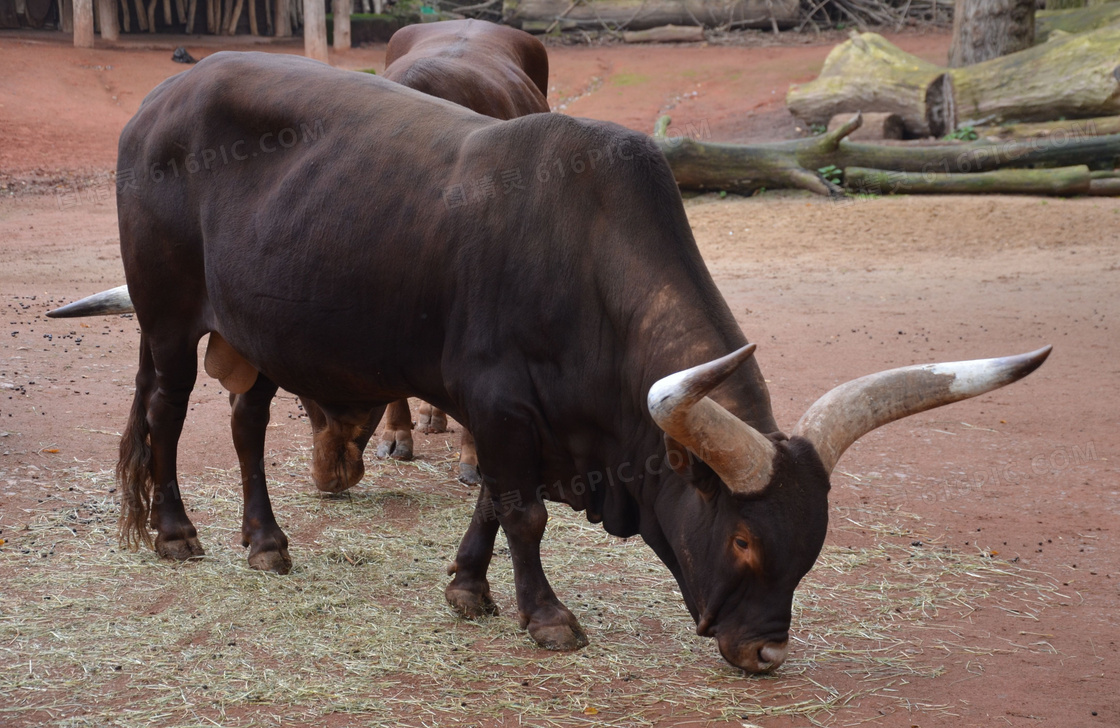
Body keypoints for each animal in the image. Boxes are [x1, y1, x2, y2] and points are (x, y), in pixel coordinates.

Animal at [52, 52, 1048, 676]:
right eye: (741, 538)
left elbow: (495, 503)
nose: (765, 652)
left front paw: (467, 588)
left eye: (813, 546)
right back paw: (178, 532)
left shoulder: (514, 420)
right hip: (169, 319)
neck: (588, 261)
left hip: (253, 334)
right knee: (167, 414)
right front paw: (548, 617)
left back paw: (266, 541)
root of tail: (158, 104)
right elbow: (524, 513)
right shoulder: (497, 403)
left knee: (247, 423)